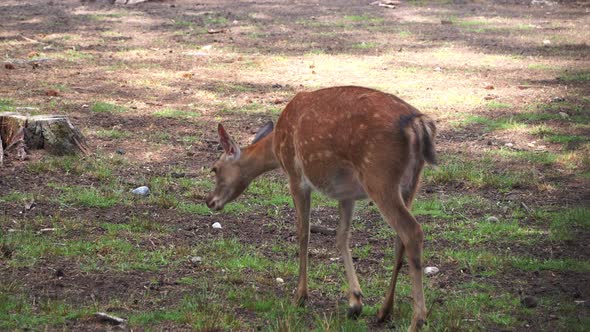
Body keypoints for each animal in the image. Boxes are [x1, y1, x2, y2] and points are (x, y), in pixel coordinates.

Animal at [206, 85, 438, 330]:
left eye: (215, 168)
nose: (209, 200)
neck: (276, 146)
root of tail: (418, 123)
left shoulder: (296, 176)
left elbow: (303, 232)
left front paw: (300, 296)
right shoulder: (347, 193)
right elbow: (341, 236)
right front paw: (355, 301)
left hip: (379, 176)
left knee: (412, 231)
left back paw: (417, 320)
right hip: (411, 182)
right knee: (400, 240)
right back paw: (384, 311)